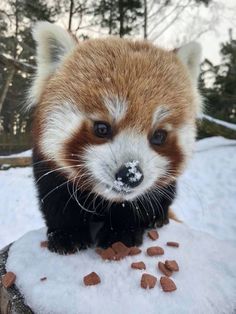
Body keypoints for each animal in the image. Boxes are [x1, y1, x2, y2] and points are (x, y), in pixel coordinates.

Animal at [29, 21, 202, 253]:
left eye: (158, 136)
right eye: (102, 128)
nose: (131, 175)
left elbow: (139, 204)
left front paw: (121, 234)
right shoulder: (48, 168)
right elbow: (56, 198)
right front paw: (67, 234)